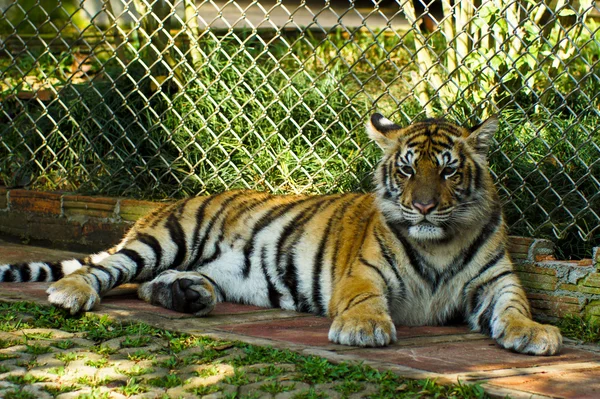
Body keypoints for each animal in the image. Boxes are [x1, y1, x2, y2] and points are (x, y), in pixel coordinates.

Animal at [0, 115, 564, 356]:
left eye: (447, 171)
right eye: (406, 169)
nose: (423, 205)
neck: (439, 240)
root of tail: (165, 203)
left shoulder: (495, 282)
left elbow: (516, 306)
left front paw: (534, 333)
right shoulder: (364, 275)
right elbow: (365, 302)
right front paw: (364, 329)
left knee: (146, 285)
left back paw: (188, 295)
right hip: (165, 238)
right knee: (107, 269)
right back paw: (69, 293)